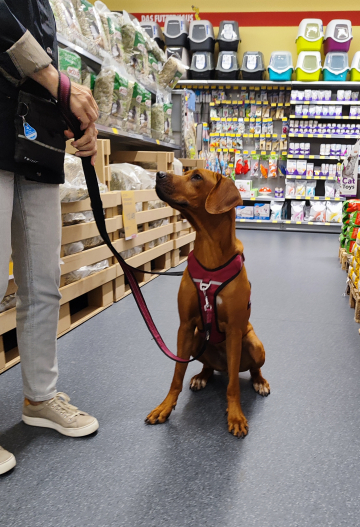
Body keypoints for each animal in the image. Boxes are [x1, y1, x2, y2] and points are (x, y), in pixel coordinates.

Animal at [145, 169, 268, 438]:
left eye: (197, 177)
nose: (158, 174)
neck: (210, 250)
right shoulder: (185, 327)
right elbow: (177, 373)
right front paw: (165, 407)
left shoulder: (234, 331)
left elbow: (233, 385)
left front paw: (235, 416)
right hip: (196, 341)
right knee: (208, 367)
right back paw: (202, 376)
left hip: (254, 344)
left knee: (248, 369)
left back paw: (259, 381)